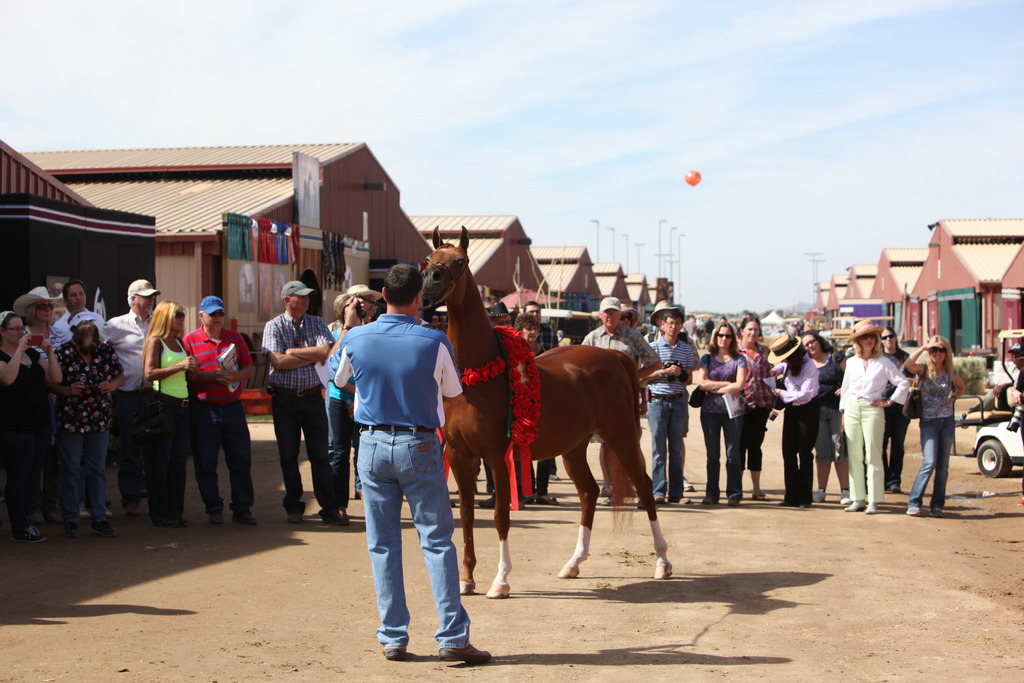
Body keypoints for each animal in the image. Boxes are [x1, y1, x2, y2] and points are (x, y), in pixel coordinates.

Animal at [423, 227, 672, 599]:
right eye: (429, 259)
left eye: (460, 261)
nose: (430, 284)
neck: (476, 374)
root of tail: (616, 358)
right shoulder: (459, 455)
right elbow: (466, 516)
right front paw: (466, 579)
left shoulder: (497, 457)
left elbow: (500, 516)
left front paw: (500, 580)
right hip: (574, 448)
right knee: (589, 492)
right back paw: (574, 563)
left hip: (622, 438)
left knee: (643, 487)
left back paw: (662, 561)